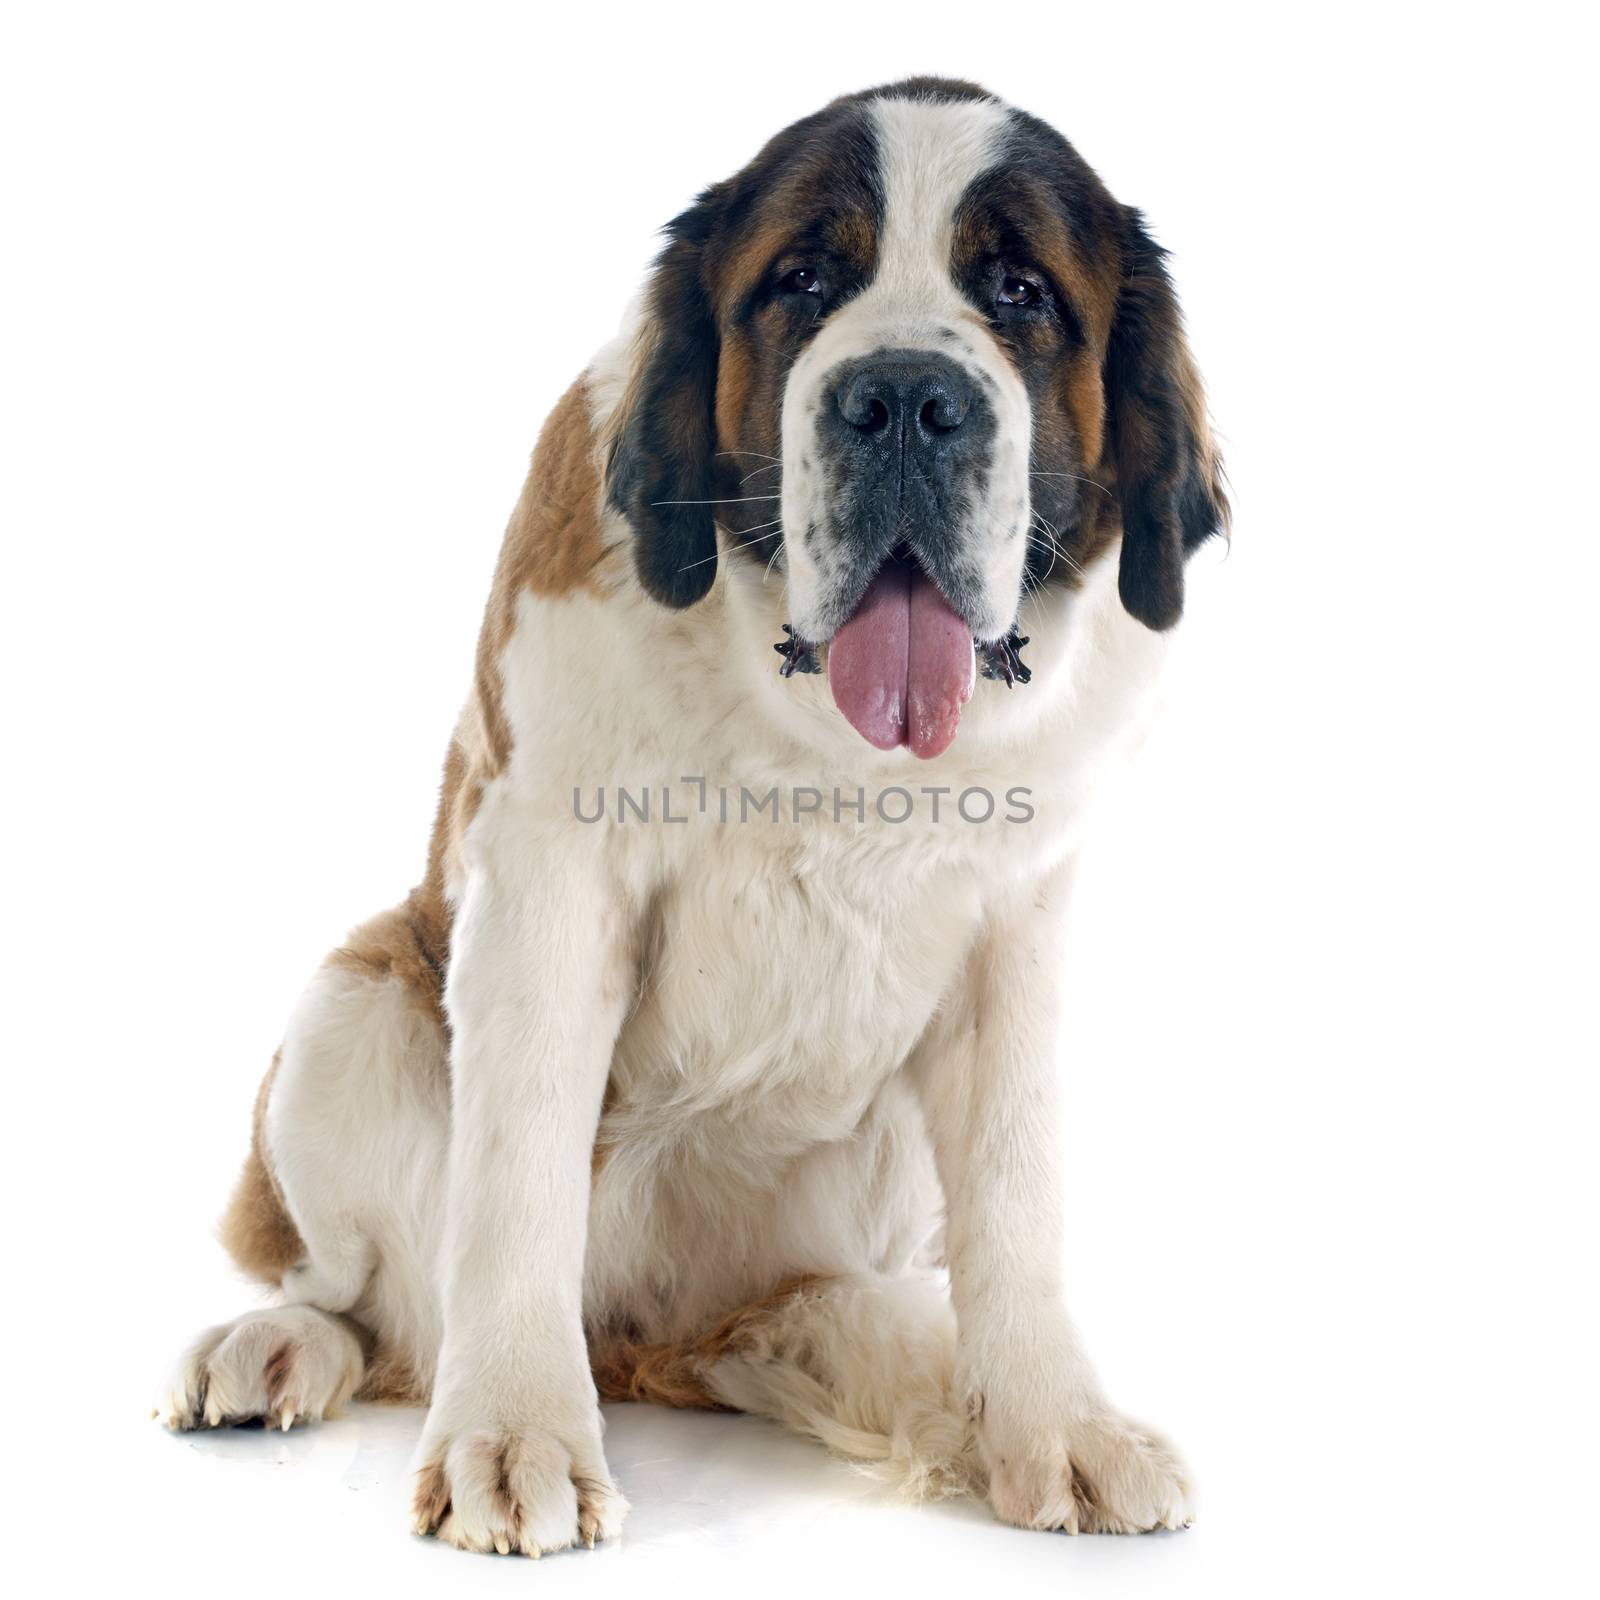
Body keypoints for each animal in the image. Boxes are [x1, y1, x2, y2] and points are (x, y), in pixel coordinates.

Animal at [159, 81, 1222, 1555]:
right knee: (375, 1302)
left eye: (1019, 291)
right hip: (353, 1000)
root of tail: (650, 1338)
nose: (906, 400)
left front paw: (1053, 1428)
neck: (818, 738)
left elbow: (1018, 1192)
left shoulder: (1016, 931)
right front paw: (512, 1436)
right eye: (802, 283)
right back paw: (278, 1346)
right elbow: (516, 1184)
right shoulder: (546, 884)